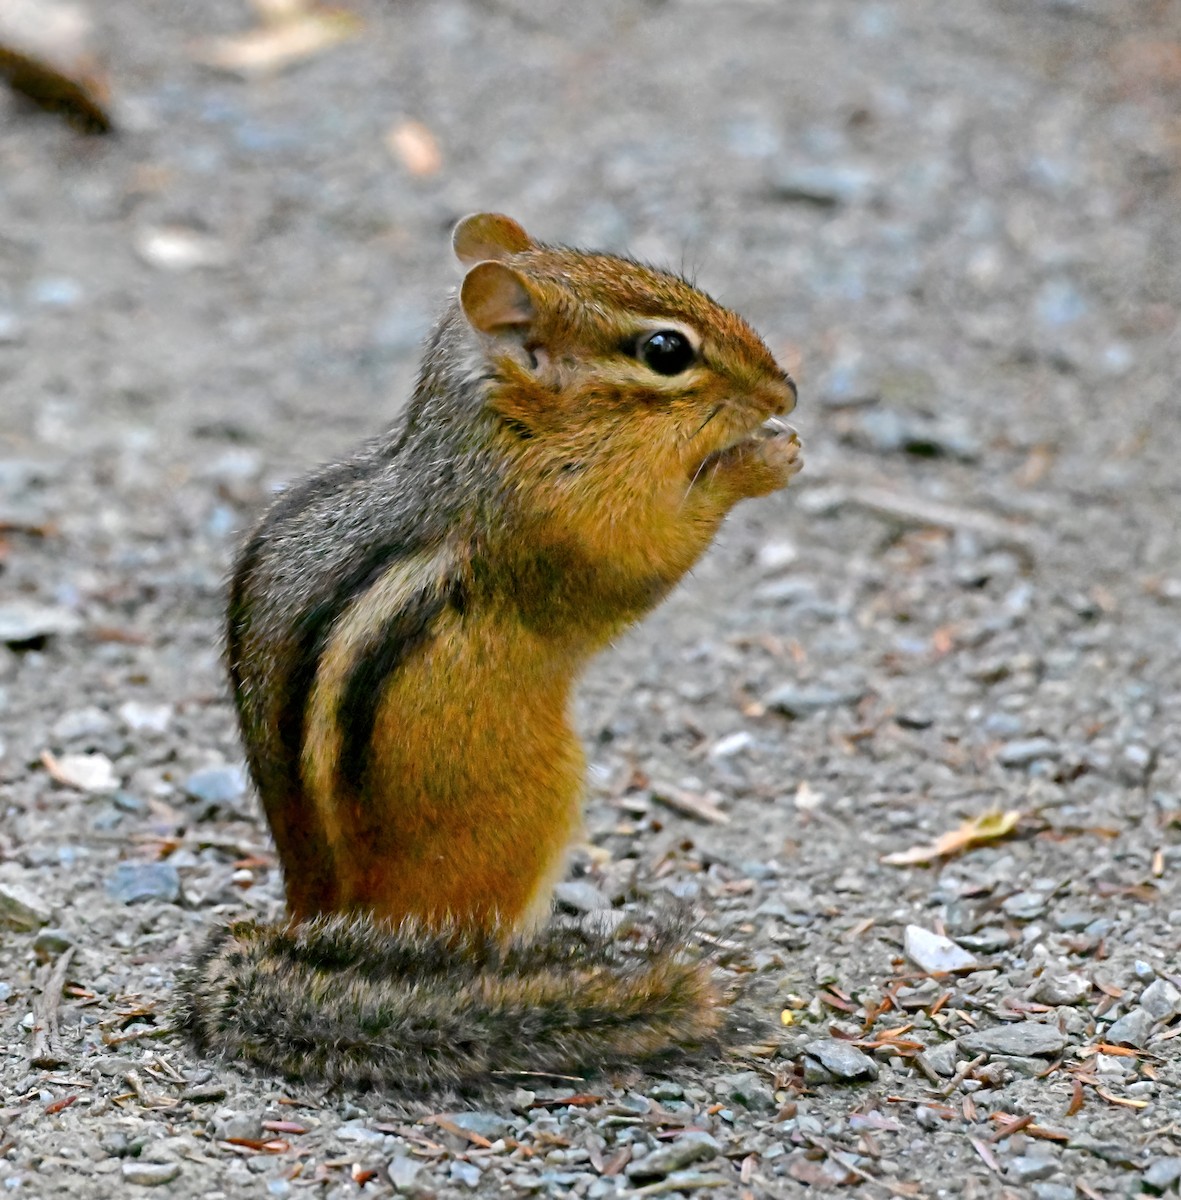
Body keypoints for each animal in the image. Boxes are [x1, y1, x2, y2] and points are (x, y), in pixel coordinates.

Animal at [179, 213, 802, 1091]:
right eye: (665, 351)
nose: (786, 392)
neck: (507, 430)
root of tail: (320, 922)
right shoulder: (562, 524)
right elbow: (642, 560)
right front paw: (760, 460)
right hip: (532, 805)